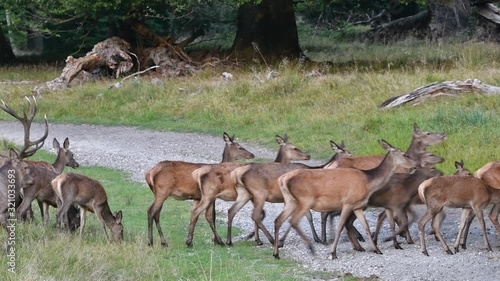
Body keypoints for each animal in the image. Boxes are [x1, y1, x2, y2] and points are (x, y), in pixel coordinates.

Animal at [272, 139, 416, 260]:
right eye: (404, 154)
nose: (415, 165)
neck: (368, 182)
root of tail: (283, 179)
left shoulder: (358, 206)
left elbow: (366, 226)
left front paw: (377, 249)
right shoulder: (348, 202)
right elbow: (341, 225)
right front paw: (333, 253)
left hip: (290, 201)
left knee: (279, 220)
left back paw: (276, 252)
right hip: (305, 200)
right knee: (294, 220)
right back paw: (311, 247)